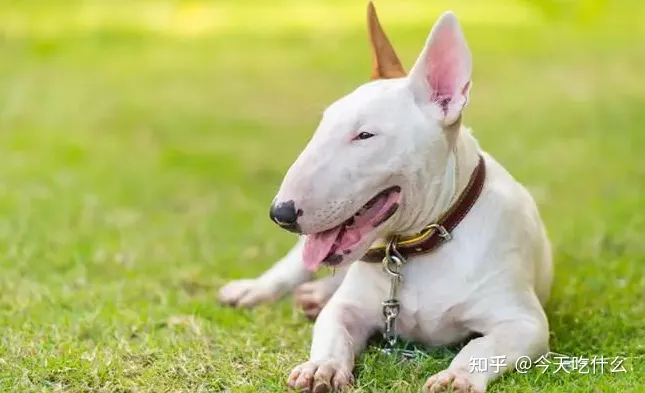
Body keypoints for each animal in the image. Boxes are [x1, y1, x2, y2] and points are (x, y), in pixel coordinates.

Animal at [219, 3, 552, 392]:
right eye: (322, 128)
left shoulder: (524, 322)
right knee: (296, 267)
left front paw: (456, 376)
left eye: (364, 135)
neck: (416, 247)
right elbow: (333, 330)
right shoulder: (347, 308)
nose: (280, 213)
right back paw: (261, 290)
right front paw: (321, 367)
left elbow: (482, 347)